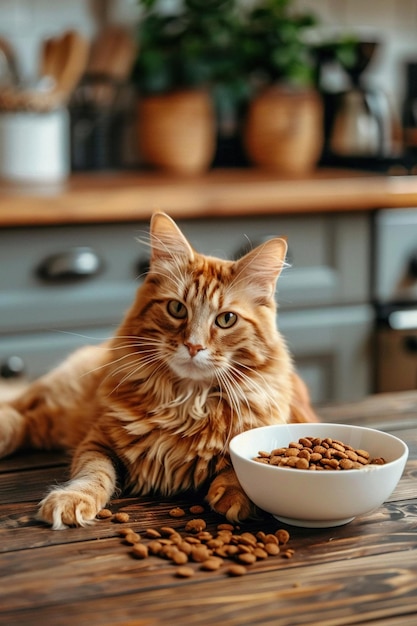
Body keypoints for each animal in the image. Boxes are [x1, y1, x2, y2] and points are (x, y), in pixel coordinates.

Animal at [0, 211, 316, 528]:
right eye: (177, 309)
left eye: (226, 319)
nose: (193, 346)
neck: (188, 403)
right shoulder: (98, 441)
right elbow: (93, 474)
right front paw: (72, 499)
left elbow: (238, 461)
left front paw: (234, 495)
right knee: (21, 412)